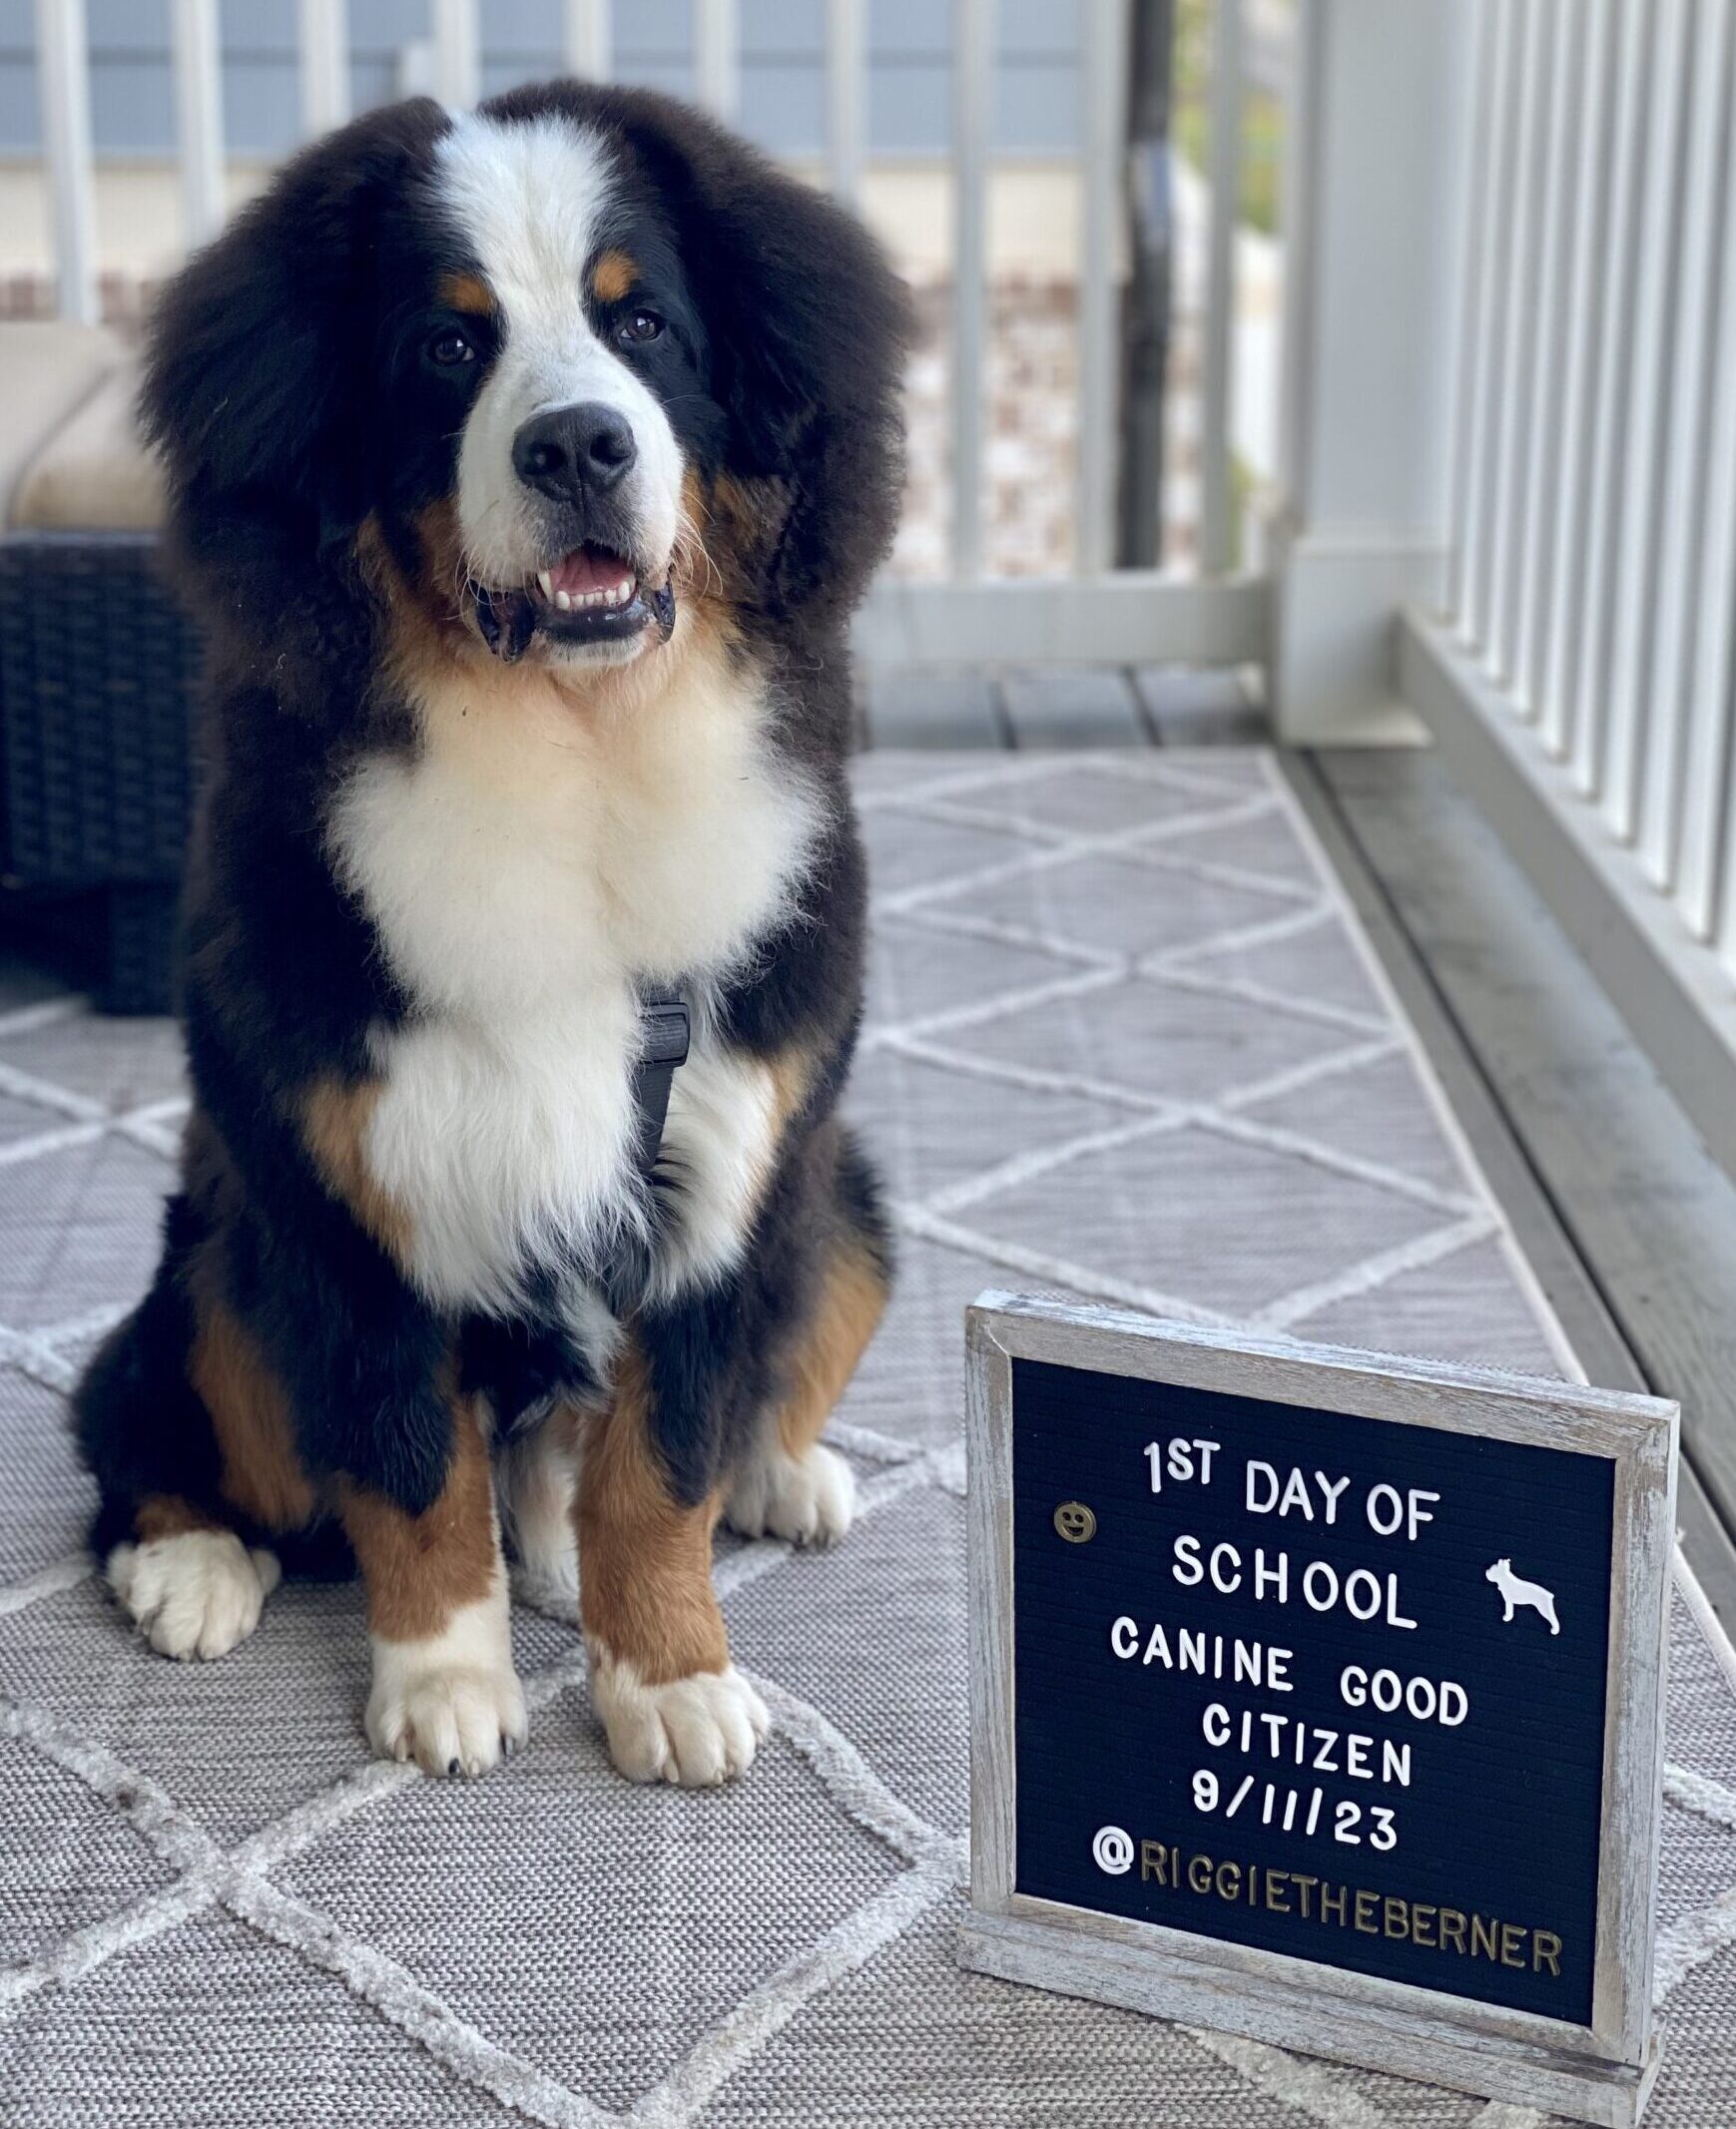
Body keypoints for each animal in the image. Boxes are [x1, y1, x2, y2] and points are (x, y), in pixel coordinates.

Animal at [68, 78, 911, 1780]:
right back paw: (192, 1565)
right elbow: (407, 1462)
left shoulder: (736, 1157)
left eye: (641, 321)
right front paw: (445, 1683)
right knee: (140, 1423)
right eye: (448, 347)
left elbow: (665, 1457)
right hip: (223, 1248)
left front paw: (668, 1676)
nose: (578, 441)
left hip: (844, 1197)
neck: (575, 761)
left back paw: (772, 1480)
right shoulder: (339, 1177)